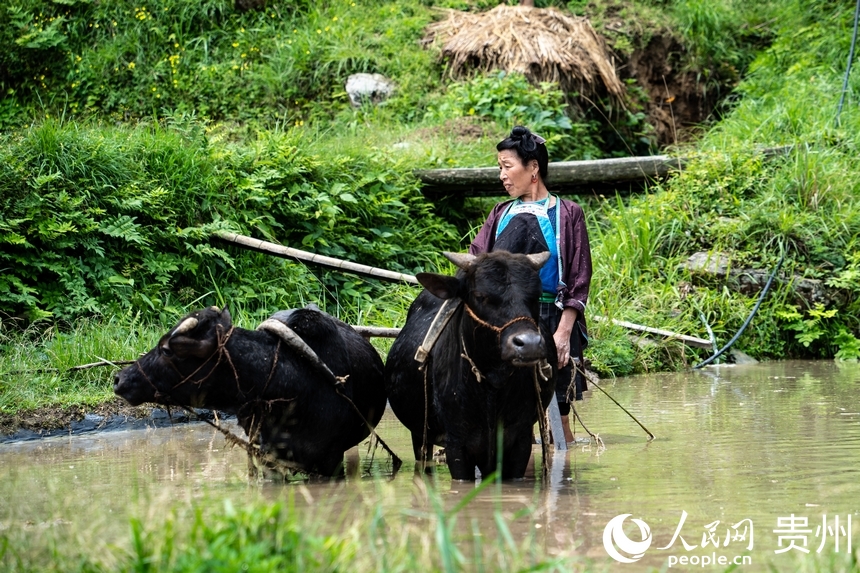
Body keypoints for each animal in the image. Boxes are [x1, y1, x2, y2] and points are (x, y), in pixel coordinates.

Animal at [384, 250, 556, 478]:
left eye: (535, 296)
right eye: (480, 296)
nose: (529, 344)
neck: (492, 385)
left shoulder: (520, 440)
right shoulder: (457, 445)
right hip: (419, 435)